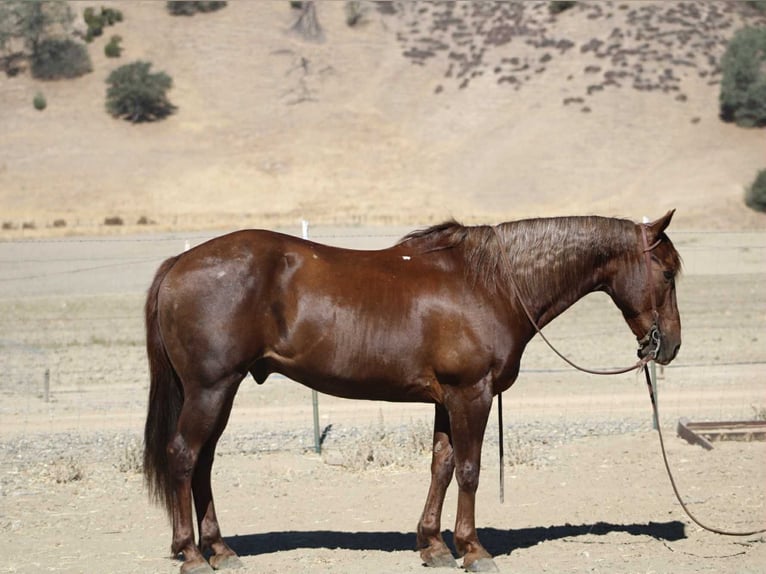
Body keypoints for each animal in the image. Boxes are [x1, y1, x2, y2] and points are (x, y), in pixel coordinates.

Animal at [143, 211, 682, 573]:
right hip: (211, 389)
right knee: (184, 455)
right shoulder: (471, 395)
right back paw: (191, 553)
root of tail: (179, 262)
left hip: (219, 391)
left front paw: (433, 545)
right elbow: (469, 470)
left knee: (203, 463)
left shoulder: (447, 400)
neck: (492, 284)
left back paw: (220, 550)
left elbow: (441, 466)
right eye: (668, 271)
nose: (670, 345)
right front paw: (473, 549)